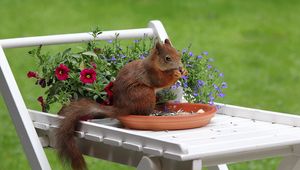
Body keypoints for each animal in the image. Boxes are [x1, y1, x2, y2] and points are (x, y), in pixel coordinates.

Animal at [56, 38, 186, 170]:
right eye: (167, 58)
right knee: (143, 112)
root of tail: (122, 108)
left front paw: (184, 71)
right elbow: (161, 81)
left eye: (179, 54)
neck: (155, 63)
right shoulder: (151, 73)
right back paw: (153, 112)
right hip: (145, 93)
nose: (180, 67)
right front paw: (175, 74)